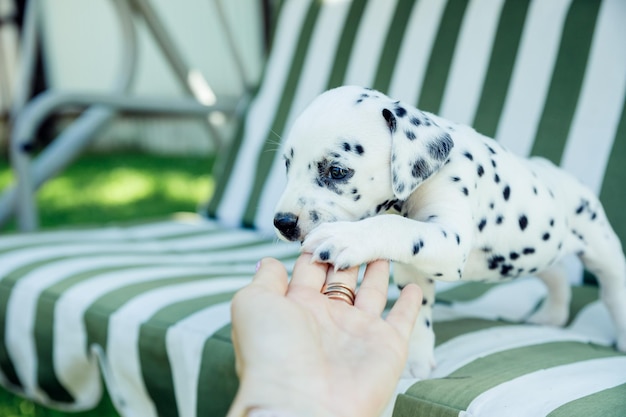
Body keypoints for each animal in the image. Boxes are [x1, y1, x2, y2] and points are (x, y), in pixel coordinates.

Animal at [272, 84, 624, 376]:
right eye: (287, 165)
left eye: (337, 171)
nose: (283, 222)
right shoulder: (413, 266)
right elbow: (417, 309)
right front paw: (415, 359)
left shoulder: (450, 241)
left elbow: (393, 225)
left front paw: (346, 237)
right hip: (535, 254)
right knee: (557, 273)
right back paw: (552, 315)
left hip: (601, 248)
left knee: (612, 288)